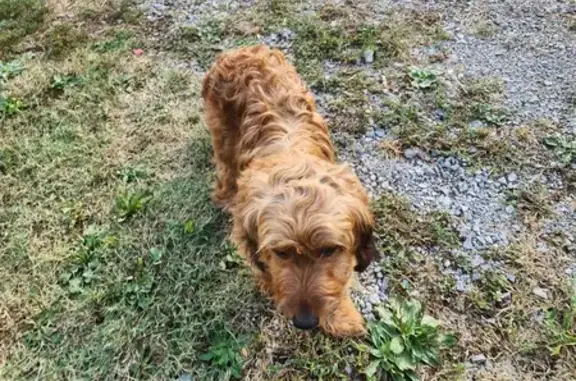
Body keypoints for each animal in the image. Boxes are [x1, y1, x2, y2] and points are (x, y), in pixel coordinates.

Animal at [201, 45, 378, 336]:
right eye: (282, 253)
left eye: (328, 250)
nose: (305, 322)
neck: (293, 161)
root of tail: (240, 50)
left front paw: (341, 314)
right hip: (222, 133)